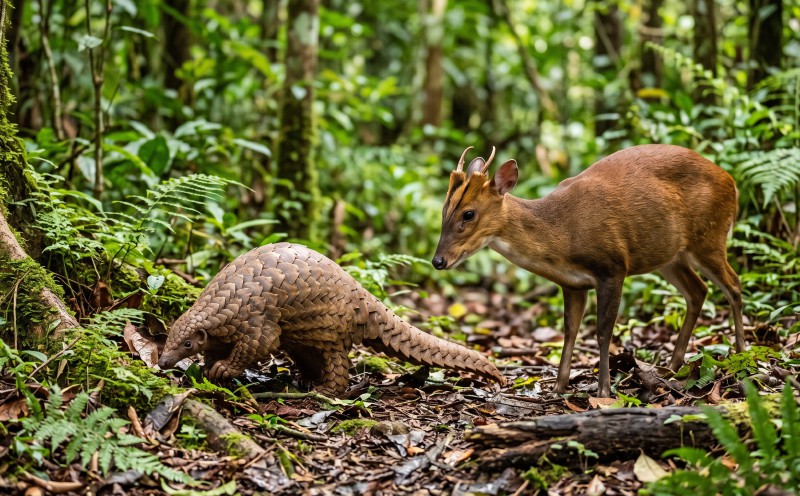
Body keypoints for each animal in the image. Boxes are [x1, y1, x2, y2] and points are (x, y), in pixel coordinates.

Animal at [432, 144, 745, 397]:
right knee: (698, 291)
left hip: (709, 237)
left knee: (734, 284)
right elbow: (570, 330)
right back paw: (672, 366)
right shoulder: (572, 284)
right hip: (671, 255)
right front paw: (558, 387)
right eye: (444, 211)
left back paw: (742, 354)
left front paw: (604, 389)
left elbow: (603, 332)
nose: (438, 261)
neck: (561, 235)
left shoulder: (613, 268)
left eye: (469, 214)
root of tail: (732, 182)